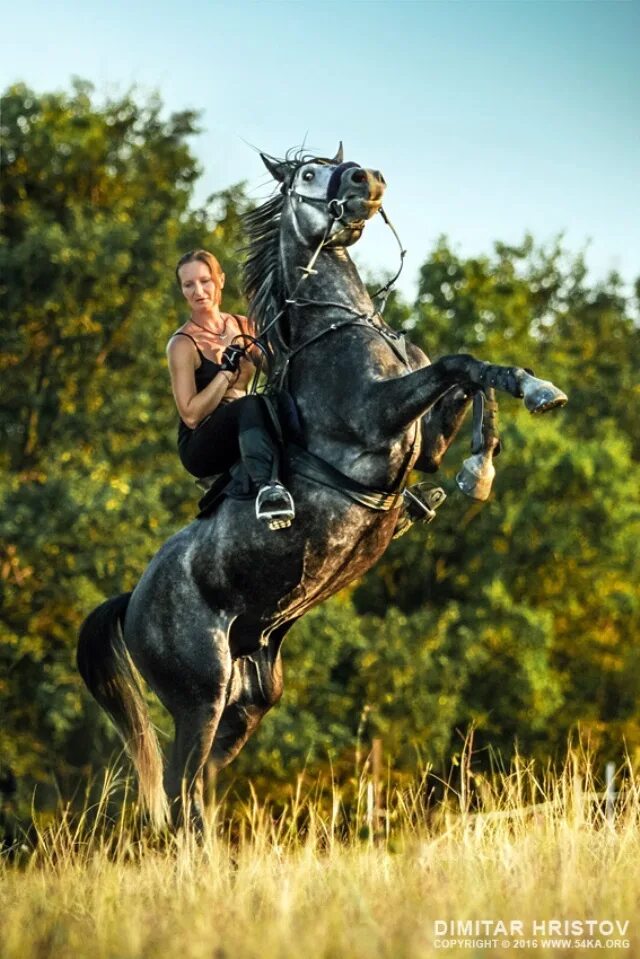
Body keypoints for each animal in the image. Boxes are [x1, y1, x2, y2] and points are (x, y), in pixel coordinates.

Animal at [76, 144, 568, 832]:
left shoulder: (425, 445)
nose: (369, 178)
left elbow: (471, 373)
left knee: (201, 786)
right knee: (178, 793)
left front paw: (512, 423)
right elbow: (456, 365)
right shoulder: (376, 416)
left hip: (251, 695)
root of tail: (133, 600)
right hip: (201, 693)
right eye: (307, 174)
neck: (342, 327)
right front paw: (490, 457)